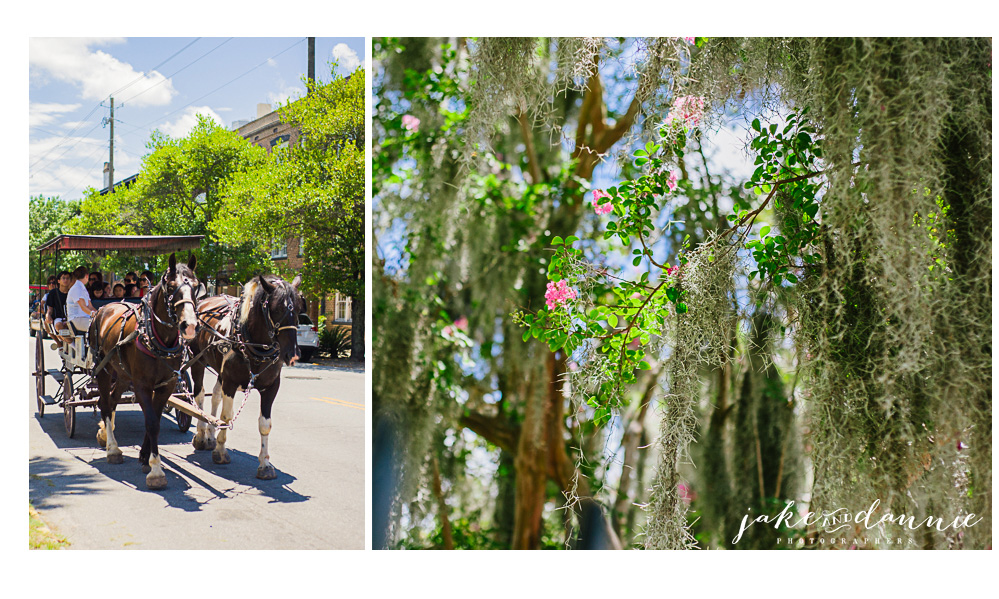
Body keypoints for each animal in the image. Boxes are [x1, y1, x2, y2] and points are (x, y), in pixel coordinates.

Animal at [89, 253, 200, 488]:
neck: (159, 339)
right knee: (105, 403)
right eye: (171, 286)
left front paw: (144, 456)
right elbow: (151, 422)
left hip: (122, 374)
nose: (190, 325)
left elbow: (154, 419)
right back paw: (112, 448)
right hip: (103, 369)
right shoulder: (142, 385)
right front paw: (156, 470)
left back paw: (108, 436)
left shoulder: (166, 386)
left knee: (112, 400)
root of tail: (104, 308)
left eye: (196, 286)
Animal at [189, 276, 302, 478]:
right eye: (277, 309)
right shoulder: (230, 382)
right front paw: (221, 451)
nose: (293, 354)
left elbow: (265, 424)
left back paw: (210, 435)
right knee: (199, 395)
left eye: (298, 309)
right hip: (197, 361)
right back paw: (202, 435)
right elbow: (226, 417)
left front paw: (265, 464)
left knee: (215, 395)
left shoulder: (271, 386)